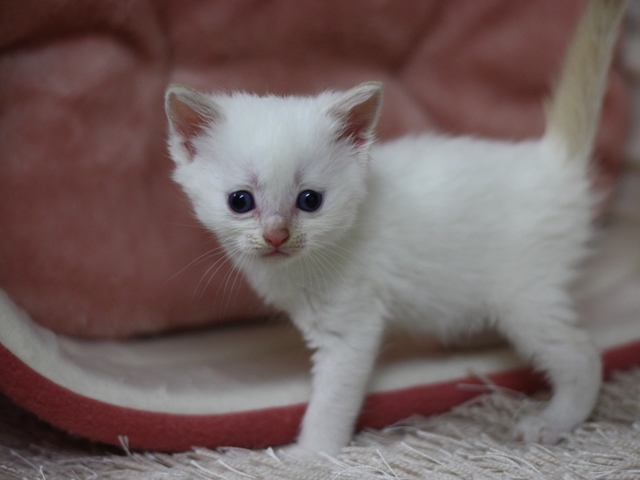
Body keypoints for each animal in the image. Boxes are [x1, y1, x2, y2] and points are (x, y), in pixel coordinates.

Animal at [164, 0, 624, 458]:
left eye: (310, 200)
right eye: (240, 202)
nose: (277, 235)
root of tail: (550, 161)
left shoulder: (351, 324)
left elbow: (332, 400)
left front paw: (310, 454)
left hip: (524, 294)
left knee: (583, 356)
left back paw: (553, 421)